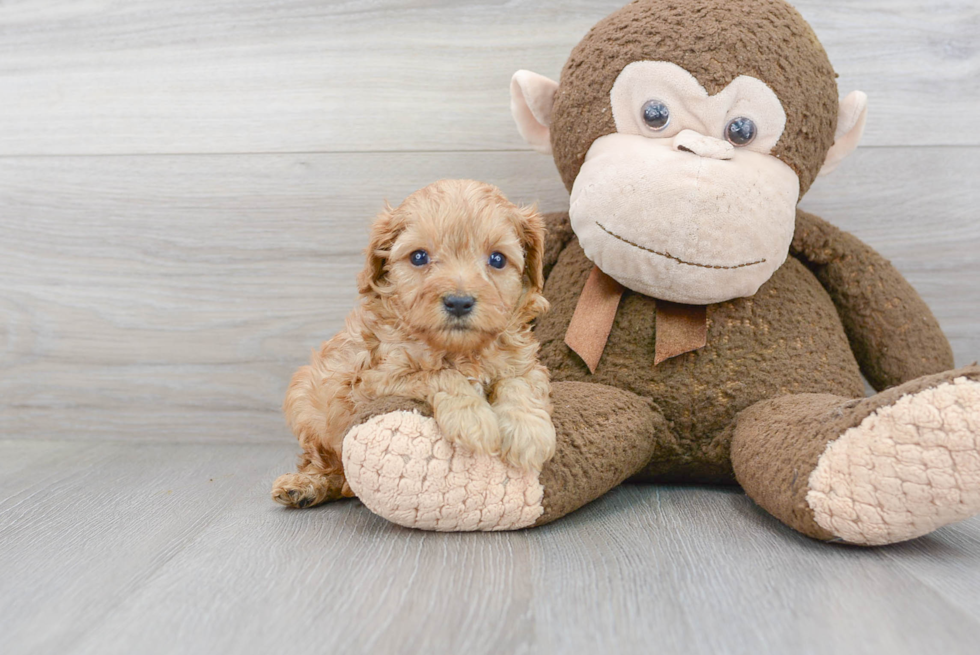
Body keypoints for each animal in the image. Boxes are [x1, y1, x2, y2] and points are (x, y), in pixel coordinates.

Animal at [272, 181, 556, 512]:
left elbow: (518, 383)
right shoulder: (374, 379)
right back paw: (304, 486)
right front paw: (472, 418)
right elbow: (438, 374)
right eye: (419, 257)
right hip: (305, 400)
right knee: (324, 463)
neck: (461, 349)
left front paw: (528, 431)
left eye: (497, 259)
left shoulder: (525, 363)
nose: (458, 302)